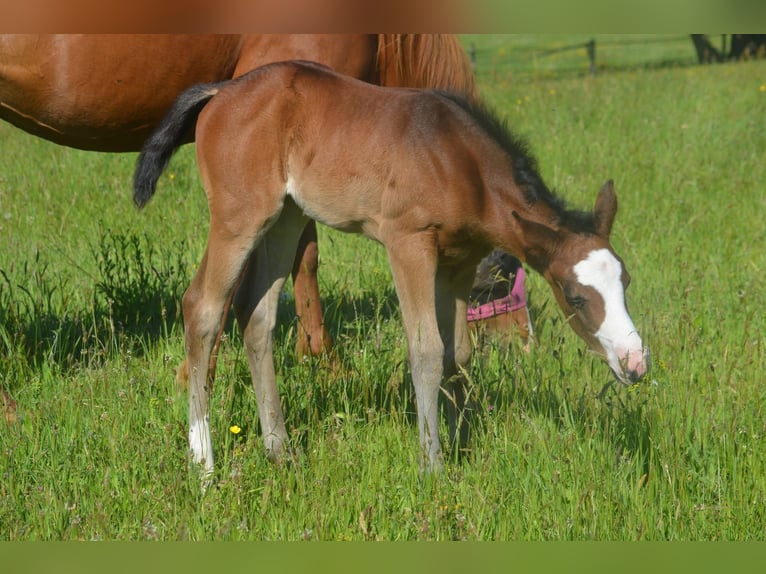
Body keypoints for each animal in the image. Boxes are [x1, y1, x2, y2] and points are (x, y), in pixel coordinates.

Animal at [133, 61, 650, 478]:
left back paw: (279, 451)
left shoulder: (458, 262)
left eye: (625, 282)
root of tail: (220, 92)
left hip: (286, 218)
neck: (460, 161)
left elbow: (458, 352)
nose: (636, 364)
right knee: (202, 307)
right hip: (239, 216)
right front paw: (432, 464)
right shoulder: (409, 242)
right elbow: (426, 351)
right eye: (576, 296)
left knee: (256, 315)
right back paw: (204, 464)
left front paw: (461, 444)